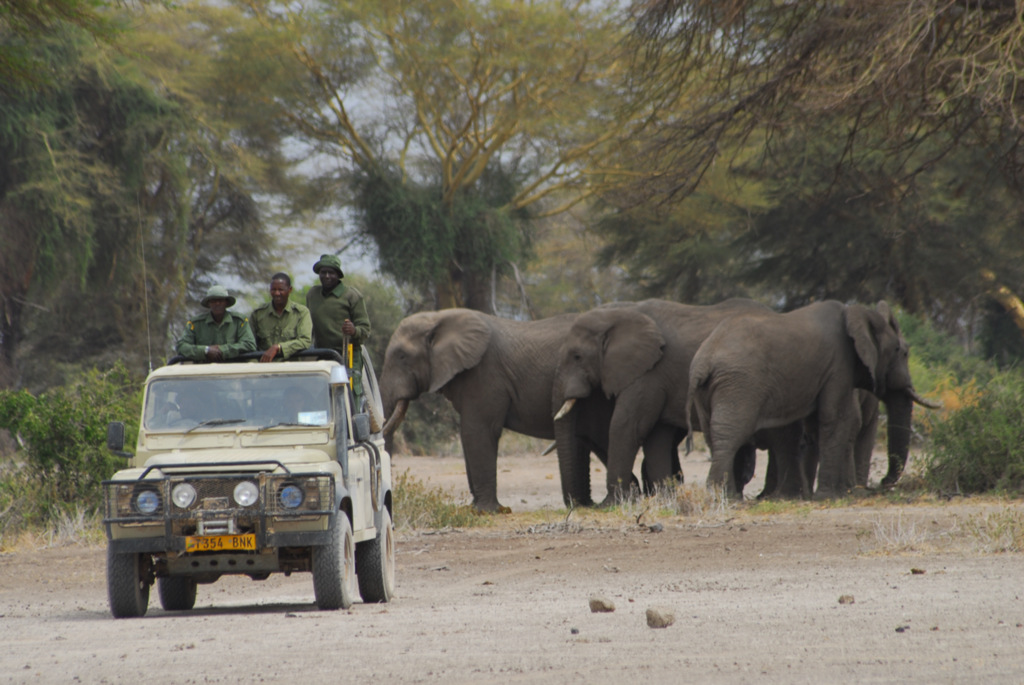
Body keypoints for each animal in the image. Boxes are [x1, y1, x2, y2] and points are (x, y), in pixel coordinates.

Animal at [376, 307, 679, 509]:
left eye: (401, 356)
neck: (439, 318)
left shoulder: (484, 374)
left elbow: (478, 431)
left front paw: (485, 511)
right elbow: (468, 436)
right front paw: (477, 508)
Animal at [552, 296, 774, 505]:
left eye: (577, 356)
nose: (584, 504)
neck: (619, 313)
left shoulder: (649, 372)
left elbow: (627, 427)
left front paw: (611, 504)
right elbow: (656, 436)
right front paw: (665, 498)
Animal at [688, 298, 937, 497]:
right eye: (903, 352)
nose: (883, 482)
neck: (856, 314)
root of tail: (704, 361)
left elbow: (817, 425)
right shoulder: (839, 365)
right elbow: (835, 418)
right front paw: (830, 496)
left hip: (711, 390)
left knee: (714, 435)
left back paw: (725, 496)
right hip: (740, 384)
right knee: (731, 432)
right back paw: (724, 496)